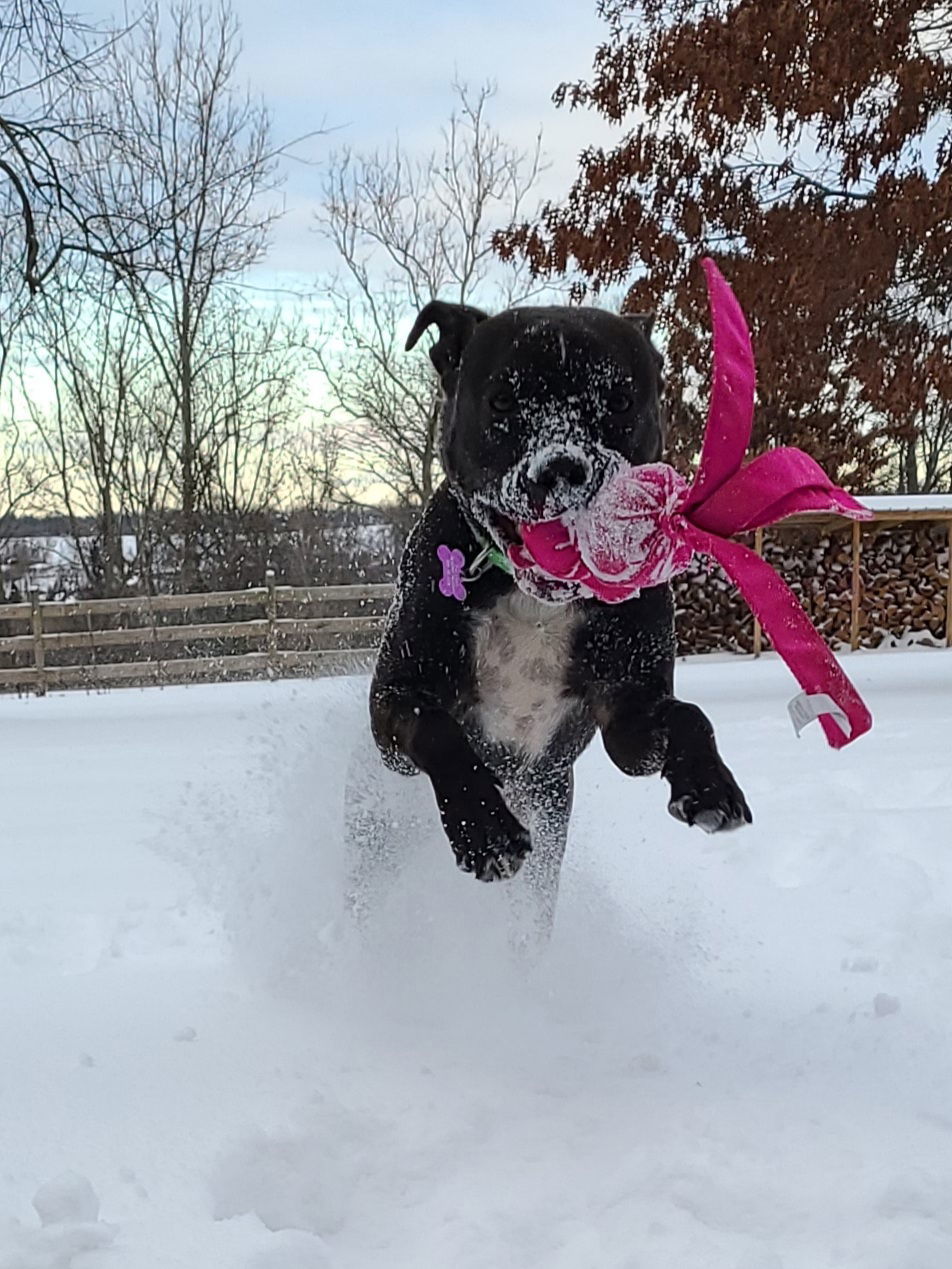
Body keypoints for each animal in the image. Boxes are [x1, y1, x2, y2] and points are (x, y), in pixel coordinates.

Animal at [373, 303, 751, 928]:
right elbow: (439, 729)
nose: (564, 469)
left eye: (620, 399)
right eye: (503, 400)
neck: (536, 598)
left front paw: (709, 785)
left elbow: (688, 715)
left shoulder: (629, 713)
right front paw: (485, 832)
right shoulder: (395, 702)